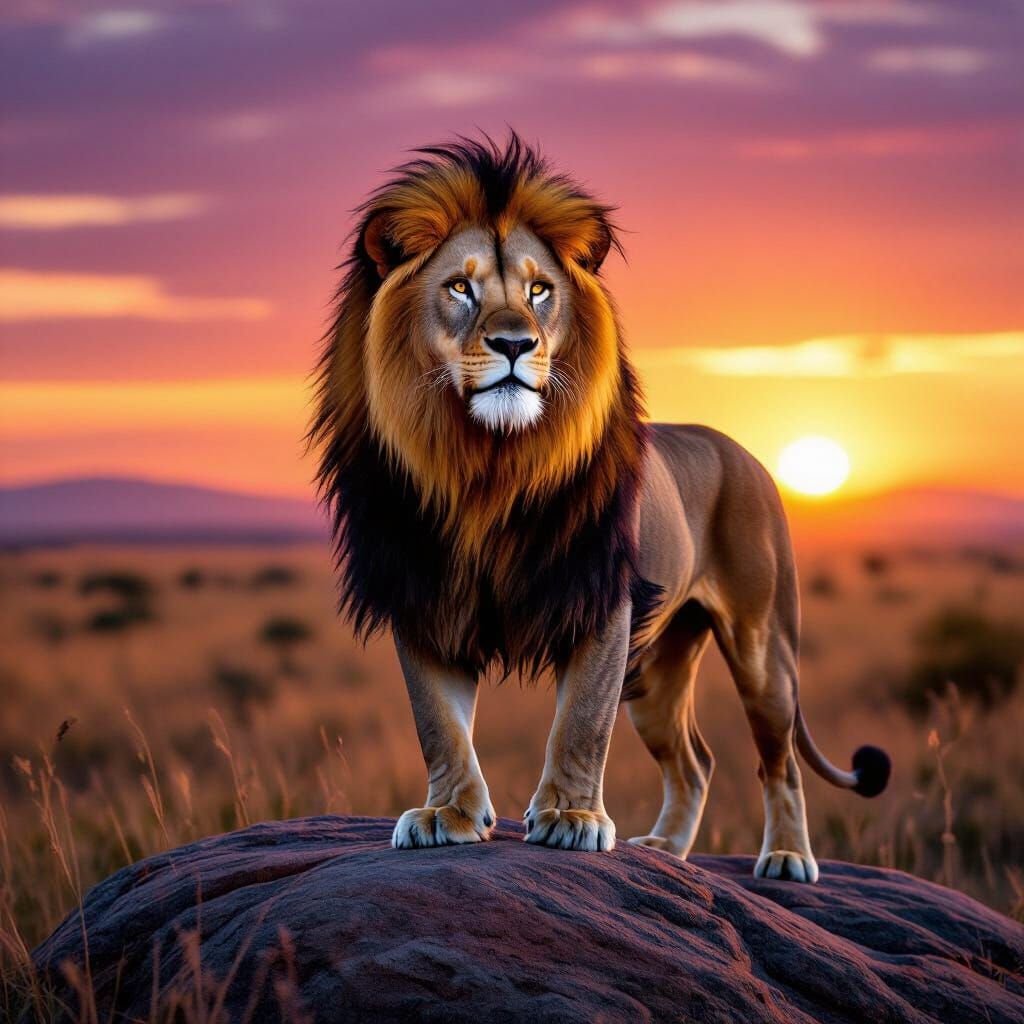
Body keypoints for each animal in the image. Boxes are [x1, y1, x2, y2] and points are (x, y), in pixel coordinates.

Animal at [309, 134, 890, 882]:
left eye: (539, 290)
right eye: (460, 287)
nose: (515, 343)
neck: (485, 468)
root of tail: (747, 452)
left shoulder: (601, 601)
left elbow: (581, 723)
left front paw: (571, 818)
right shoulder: (424, 597)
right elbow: (439, 724)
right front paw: (450, 814)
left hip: (763, 649)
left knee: (778, 760)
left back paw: (787, 857)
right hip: (659, 669)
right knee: (696, 761)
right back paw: (663, 851)